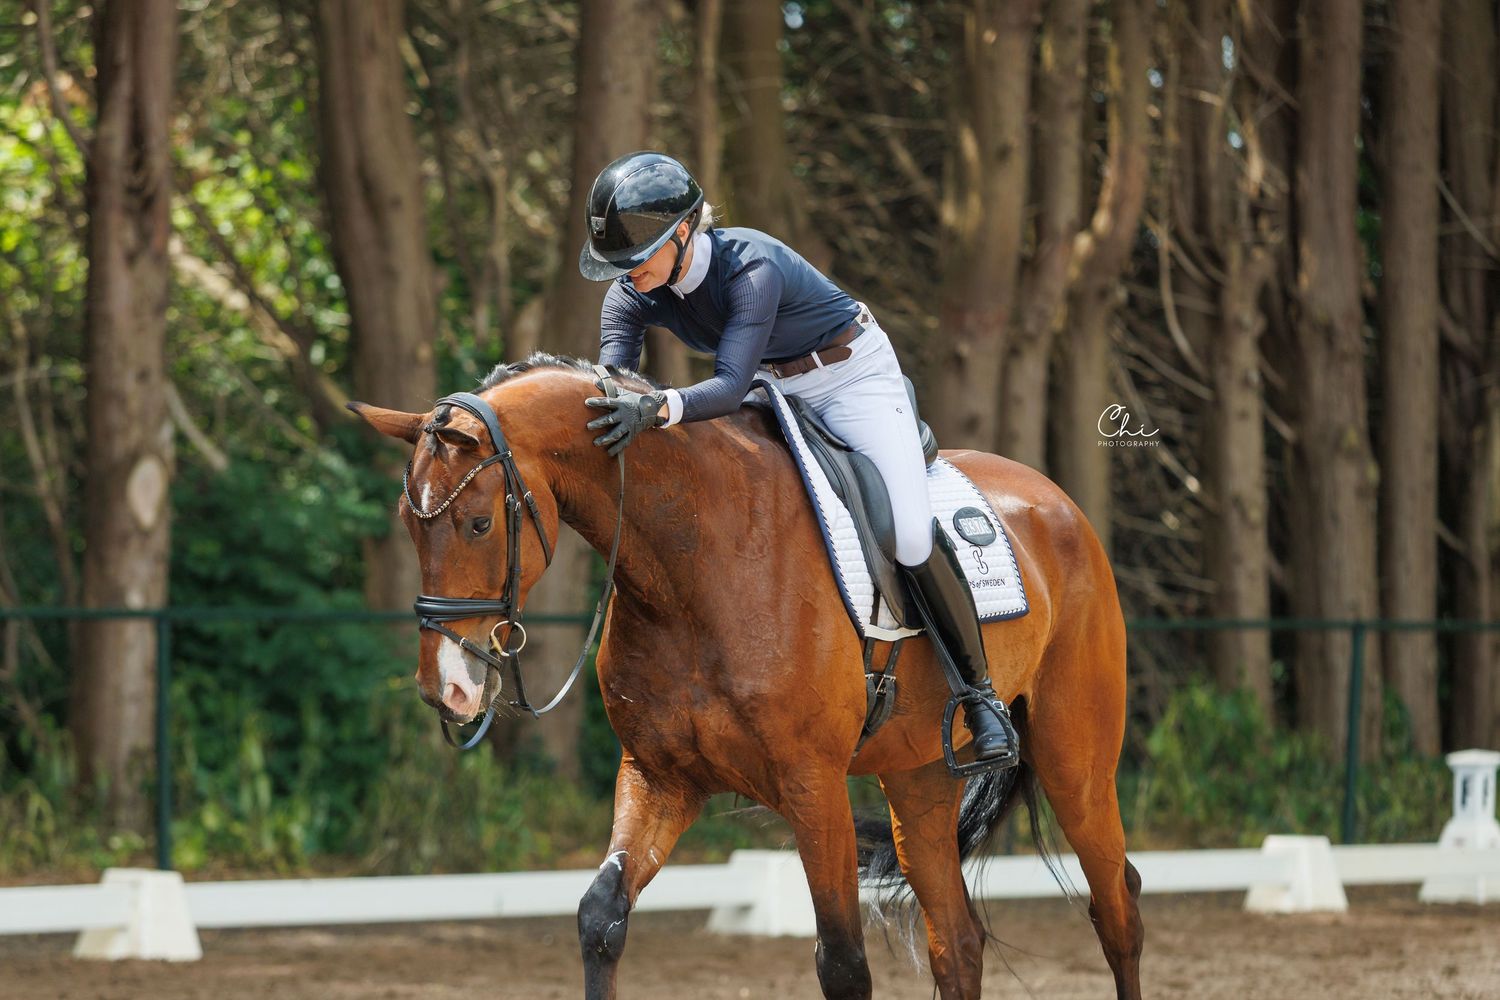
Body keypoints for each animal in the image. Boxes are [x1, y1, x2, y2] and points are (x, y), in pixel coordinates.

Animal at [349, 353, 1143, 1000]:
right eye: (409, 525)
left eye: (479, 524)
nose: (447, 688)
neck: (693, 564)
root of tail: (1058, 503)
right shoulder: (660, 777)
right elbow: (601, 919)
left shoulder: (812, 785)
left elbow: (843, 963)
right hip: (919, 776)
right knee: (958, 941)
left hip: (1075, 764)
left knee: (1118, 908)